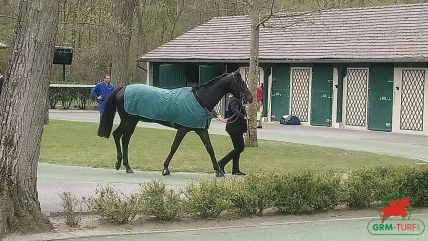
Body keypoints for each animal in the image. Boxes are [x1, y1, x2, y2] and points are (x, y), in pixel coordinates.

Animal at [96, 69, 254, 177]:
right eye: (240, 82)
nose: (250, 98)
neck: (200, 99)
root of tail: (123, 89)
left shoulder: (201, 129)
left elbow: (209, 148)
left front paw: (218, 170)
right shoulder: (183, 129)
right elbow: (174, 147)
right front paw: (165, 168)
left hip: (132, 122)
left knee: (125, 139)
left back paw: (127, 166)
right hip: (128, 121)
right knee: (117, 135)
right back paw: (119, 164)